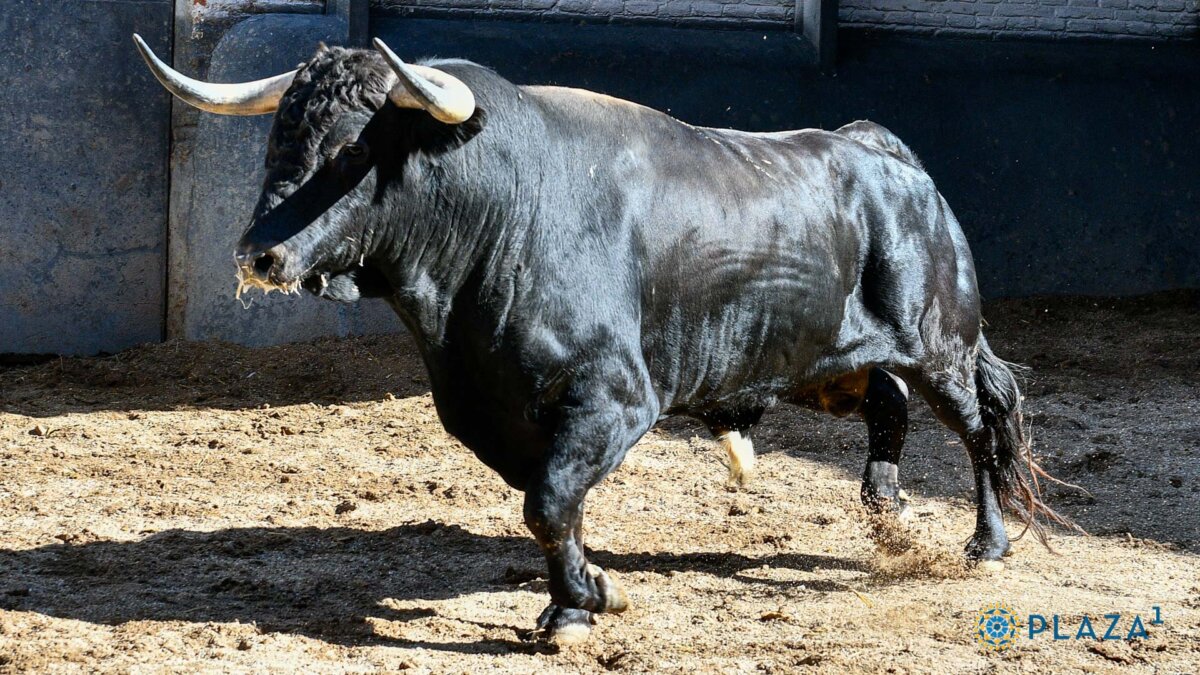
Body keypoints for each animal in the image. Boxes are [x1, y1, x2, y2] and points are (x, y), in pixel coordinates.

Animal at [134, 35, 1077, 644]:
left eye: (352, 150)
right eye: (280, 134)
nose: (259, 254)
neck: (500, 214)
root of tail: (883, 152)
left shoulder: (616, 398)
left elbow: (549, 501)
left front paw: (582, 605)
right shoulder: (492, 410)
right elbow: (551, 501)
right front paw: (578, 597)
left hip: (941, 343)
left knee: (979, 423)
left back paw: (984, 542)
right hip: (819, 359)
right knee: (886, 399)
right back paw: (883, 509)